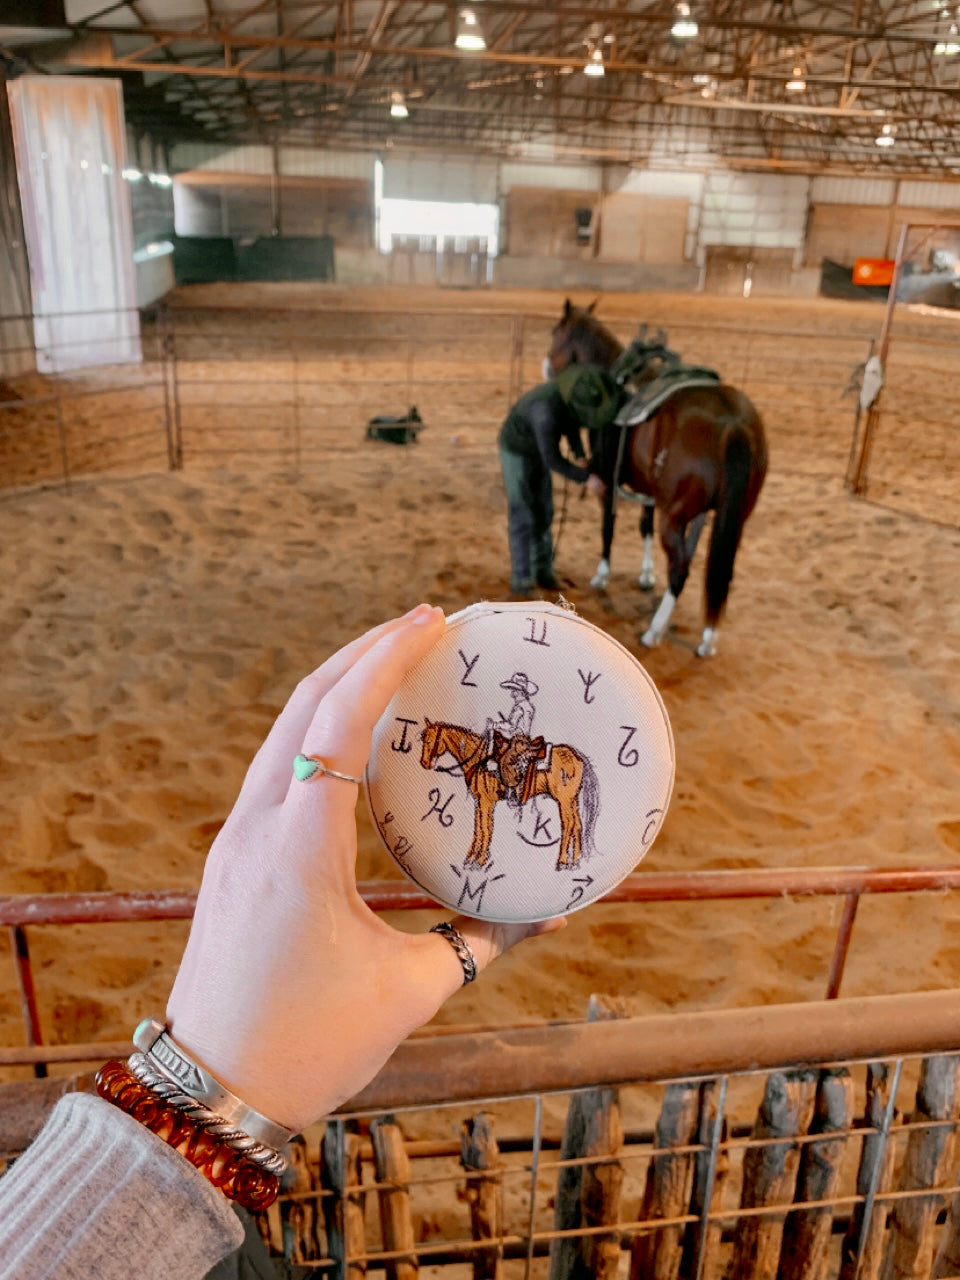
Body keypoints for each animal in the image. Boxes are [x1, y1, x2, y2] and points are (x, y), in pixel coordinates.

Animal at [420, 719, 599, 871]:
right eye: (422, 739)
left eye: (429, 740)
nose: (424, 763)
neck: (479, 759)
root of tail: (577, 757)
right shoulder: (479, 801)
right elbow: (479, 828)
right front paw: (470, 859)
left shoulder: (487, 801)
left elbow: (485, 828)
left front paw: (479, 862)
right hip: (571, 800)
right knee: (577, 825)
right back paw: (574, 862)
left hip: (563, 800)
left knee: (568, 824)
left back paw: (562, 862)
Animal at [547, 299, 768, 657]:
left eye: (556, 334)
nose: (547, 367)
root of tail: (734, 423)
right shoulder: (649, 490)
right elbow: (644, 525)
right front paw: (646, 575)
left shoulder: (607, 479)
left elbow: (608, 528)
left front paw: (602, 575)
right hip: (732, 517)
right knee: (720, 571)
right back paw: (708, 638)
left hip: (676, 516)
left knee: (679, 568)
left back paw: (654, 631)